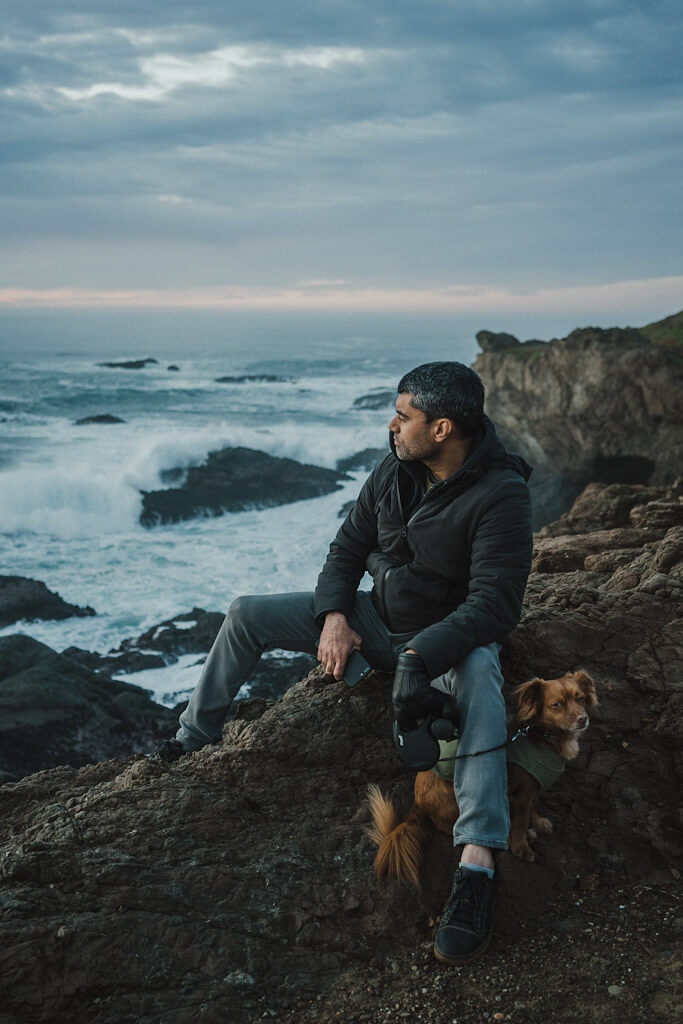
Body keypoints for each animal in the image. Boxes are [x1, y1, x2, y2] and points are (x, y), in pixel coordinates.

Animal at [368, 667, 598, 884]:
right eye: (556, 705)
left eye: (580, 698)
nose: (582, 718)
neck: (542, 734)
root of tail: (416, 802)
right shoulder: (521, 794)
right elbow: (521, 822)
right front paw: (521, 847)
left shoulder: (534, 786)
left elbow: (534, 806)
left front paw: (539, 822)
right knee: (453, 828)